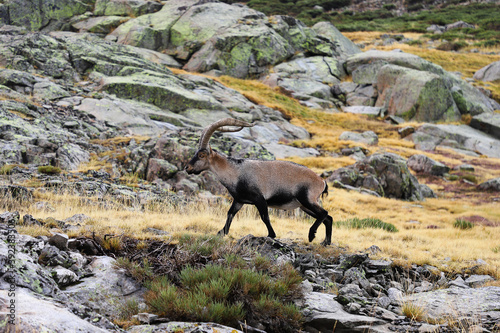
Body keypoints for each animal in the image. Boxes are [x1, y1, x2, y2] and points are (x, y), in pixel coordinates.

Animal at [184, 118, 332, 245]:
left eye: (201, 155)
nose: (187, 168)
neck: (236, 171)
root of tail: (322, 181)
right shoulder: (239, 200)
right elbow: (230, 213)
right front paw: (222, 232)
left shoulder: (259, 199)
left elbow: (264, 216)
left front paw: (271, 235)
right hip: (304, 205)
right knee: (328, 218)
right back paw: (325, 242)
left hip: (307, 199)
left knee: (324, 213)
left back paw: (311, 235)